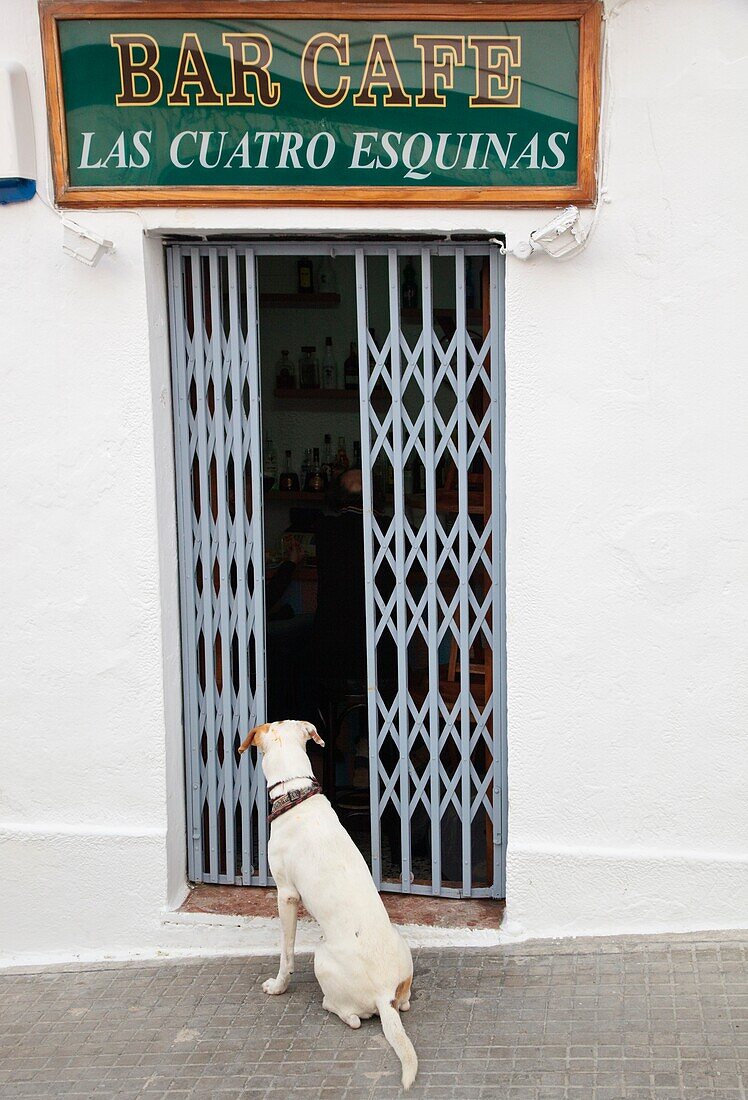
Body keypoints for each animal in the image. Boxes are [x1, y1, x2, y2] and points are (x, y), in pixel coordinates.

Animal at [237, 717, 418, 1086]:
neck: (295, 794)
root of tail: (383, 993)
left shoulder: (286, 895)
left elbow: (286, 952)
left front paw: (278, 986)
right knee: (403, 1003)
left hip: (321, 958)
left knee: (352, 1017)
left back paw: (329, 1005)